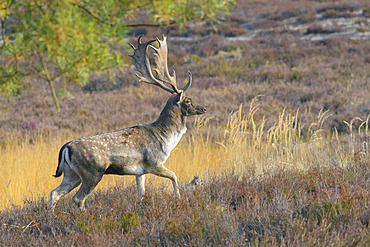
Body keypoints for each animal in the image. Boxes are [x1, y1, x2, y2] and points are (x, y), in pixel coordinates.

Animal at [47, 35, 205, 210]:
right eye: (188, 100)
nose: (203, 108)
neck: (165, 138)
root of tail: (65, 148)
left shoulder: (140, 171)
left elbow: (141, 193)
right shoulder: (154, 163)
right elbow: (175, 177)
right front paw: (178, 199)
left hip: (71, 173)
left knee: (55, 192)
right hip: (92, 172)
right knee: (77, 198)